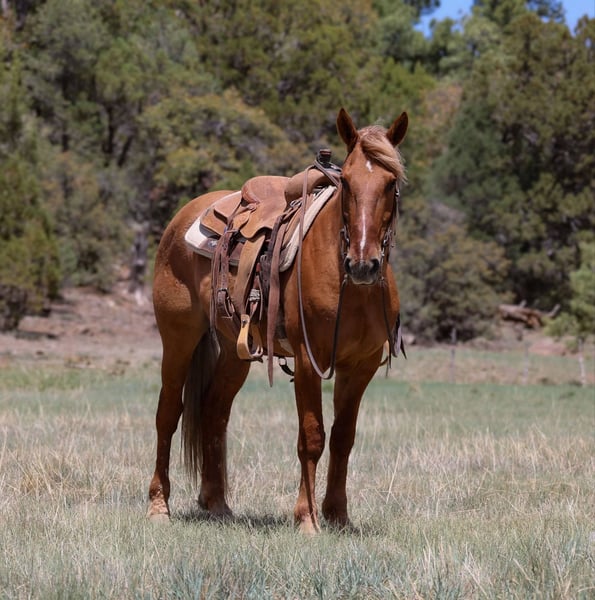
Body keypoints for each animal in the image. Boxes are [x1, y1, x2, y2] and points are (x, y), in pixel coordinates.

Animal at [147, 108, 408, 533]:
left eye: (391, 183)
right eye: (347, 182)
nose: (363, 264)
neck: (347, 283)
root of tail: (183, 216)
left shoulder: (361, 365)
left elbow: (344, 438)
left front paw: (338, 515)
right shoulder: (307, 360)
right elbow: (312, 437)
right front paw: (307, 519)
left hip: (234, 353)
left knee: (214, 411)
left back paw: (217, 503)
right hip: (178, 340)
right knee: (168, 413)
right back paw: (159, 506)